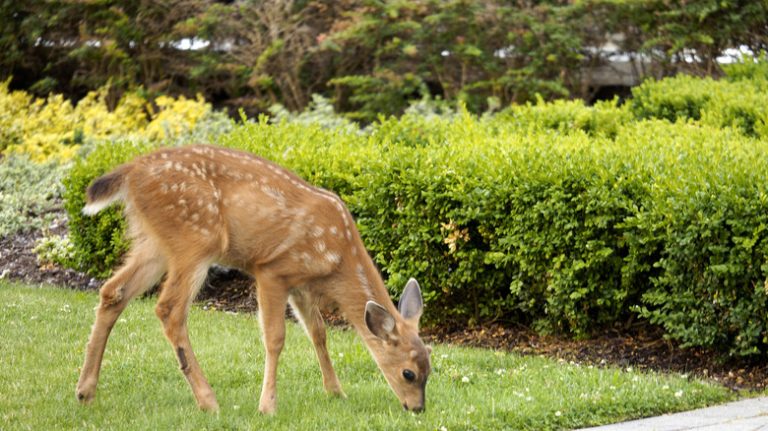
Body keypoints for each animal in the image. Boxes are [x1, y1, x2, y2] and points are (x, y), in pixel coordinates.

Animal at [76, 145, 432, 416]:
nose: (417, 408)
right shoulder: (272, 270)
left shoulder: (300, 284)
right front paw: (267, 406)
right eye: (409, 373)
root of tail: (130, 171)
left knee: (113, 291)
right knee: (169, 309)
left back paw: (85, 391)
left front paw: (335, 392)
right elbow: (275, 337)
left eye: (430, 367)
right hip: (195, 239)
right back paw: (208, 400)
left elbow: (318, 332)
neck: (337, 258)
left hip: (155, 242)